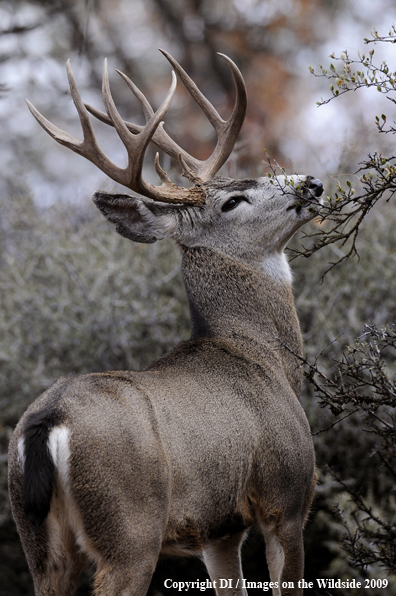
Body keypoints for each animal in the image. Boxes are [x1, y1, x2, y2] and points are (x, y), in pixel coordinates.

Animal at [7, 51, 324, 596]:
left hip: (40, 544)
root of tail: (47, 422)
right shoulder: (286, 499)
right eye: (233, 200)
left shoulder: (219, 532)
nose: (311, 183)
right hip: (130, 527)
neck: (262, 358)